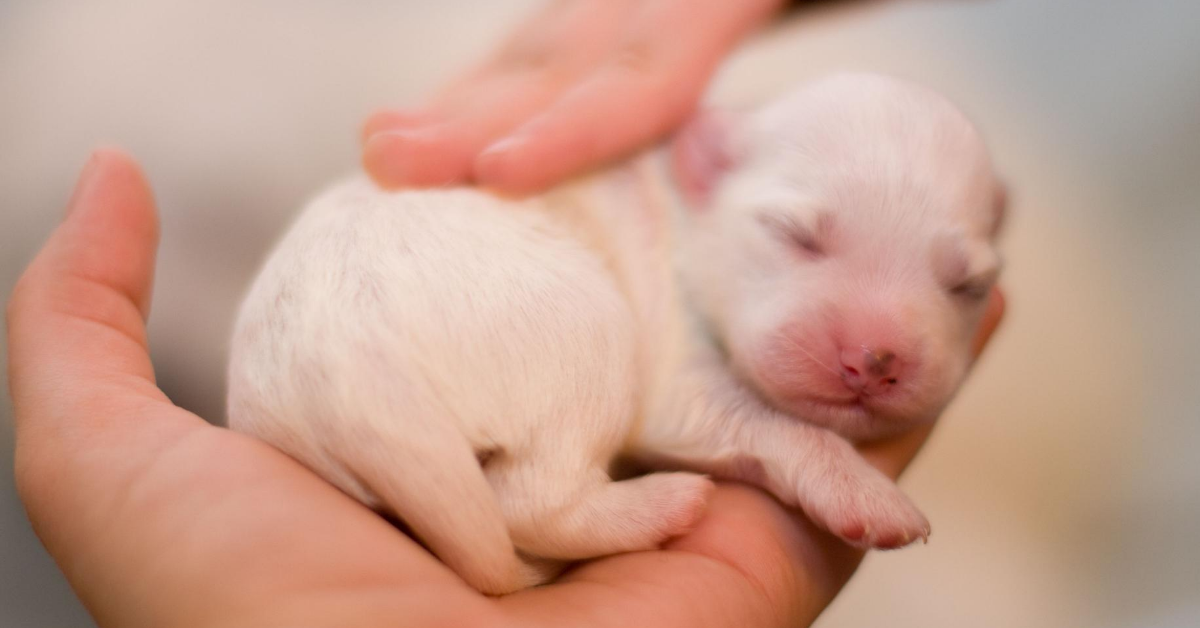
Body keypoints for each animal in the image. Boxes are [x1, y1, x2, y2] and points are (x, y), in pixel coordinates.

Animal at [225, 72, 1003, 595]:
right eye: (795, 235)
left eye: (969, 286)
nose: (875, 360)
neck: (686, 211)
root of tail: (341, 366)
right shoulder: (674, 366)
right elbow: (778, 424)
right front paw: (863, 493)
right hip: (590, 340)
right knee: (535, 501)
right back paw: (661, 505)